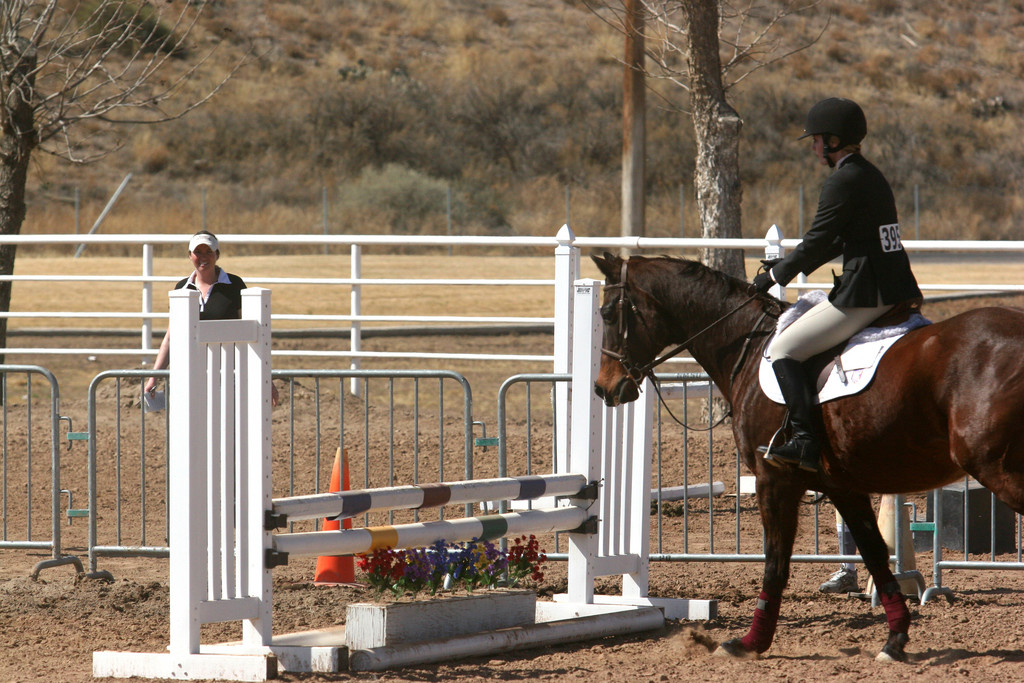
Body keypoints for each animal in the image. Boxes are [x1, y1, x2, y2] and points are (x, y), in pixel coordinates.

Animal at [589, 250, 1024, 663]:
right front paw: (895, 640)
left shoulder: (774, 480)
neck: (749, 346)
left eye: (607, 313)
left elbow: (775, 564)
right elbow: (875, 556)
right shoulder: (843, 486)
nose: (604, 389)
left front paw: (750, 643)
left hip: (995, 467)